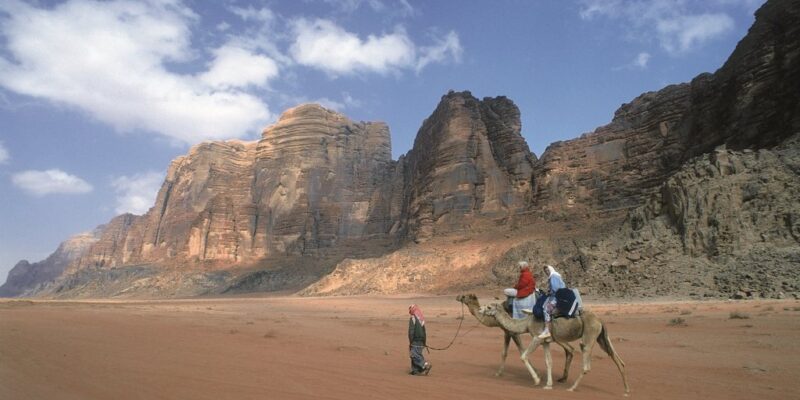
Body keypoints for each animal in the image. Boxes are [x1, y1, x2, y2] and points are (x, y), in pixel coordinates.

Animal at [482, 304, 632, 394]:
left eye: (489, 306)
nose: (480, 310)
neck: (526, 323)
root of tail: (600, 320)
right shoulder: (545, 342)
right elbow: (548, 362)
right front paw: (548, 385)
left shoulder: (537, 338)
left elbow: (523, 356)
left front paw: (537, 381)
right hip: (601, 337)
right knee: (617, 359)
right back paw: (626, 391)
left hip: (590, 334)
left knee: (586, 362)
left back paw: (571, 388)